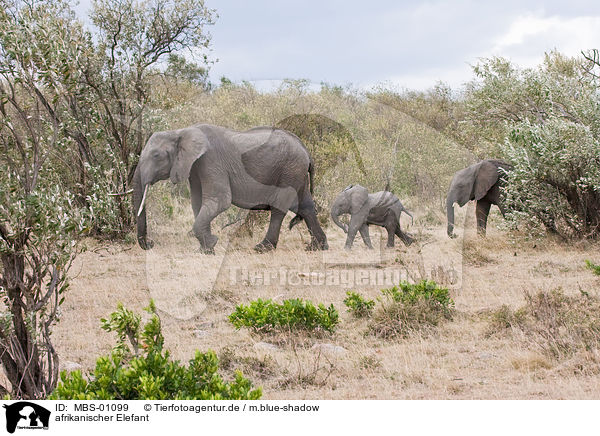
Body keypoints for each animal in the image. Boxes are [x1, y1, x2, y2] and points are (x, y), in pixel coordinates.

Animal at [133, 123, 328, 252]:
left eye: (156, 155)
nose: (150, 244)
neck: (180, 131)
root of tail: (306, 150)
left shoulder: (211, 162)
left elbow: (220, 201)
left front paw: (211, 244)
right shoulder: (195, 167)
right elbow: (197, 203)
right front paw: (206, 249)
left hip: (289, 170)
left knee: (279, 208)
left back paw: (262, 248)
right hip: (296, 173)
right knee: (305, 206)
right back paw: (317, 247)